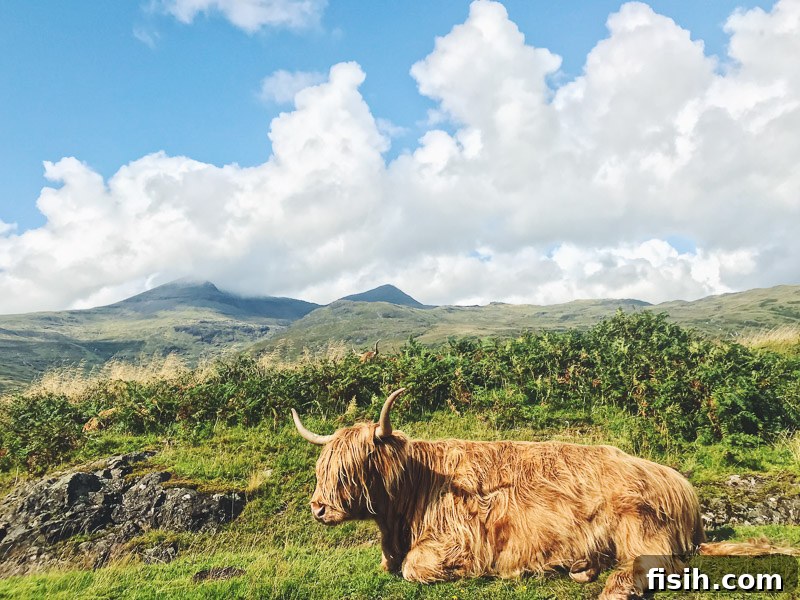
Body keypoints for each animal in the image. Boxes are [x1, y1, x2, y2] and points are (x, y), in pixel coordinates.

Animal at [292, 388, 797, 599]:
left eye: (350, 469)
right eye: (322, 469)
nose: (318, 508)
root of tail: (678, 483)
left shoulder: (460, 539)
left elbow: (416, 567)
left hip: (636, 521)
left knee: (651, 565)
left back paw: (610, 589)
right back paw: (583, 568)